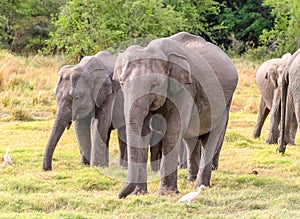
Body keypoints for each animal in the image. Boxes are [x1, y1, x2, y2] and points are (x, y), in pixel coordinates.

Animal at [113, 31, 238, 198]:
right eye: (121, 83)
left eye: (154, 84)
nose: (120, 195)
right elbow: (144, 132)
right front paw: (139, 194)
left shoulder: (183, 88)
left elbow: (173, 130)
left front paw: (165, 194)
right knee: (191, 139)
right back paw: (191, 180)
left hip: (225, 103)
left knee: (211, 137)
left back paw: (201, 185)